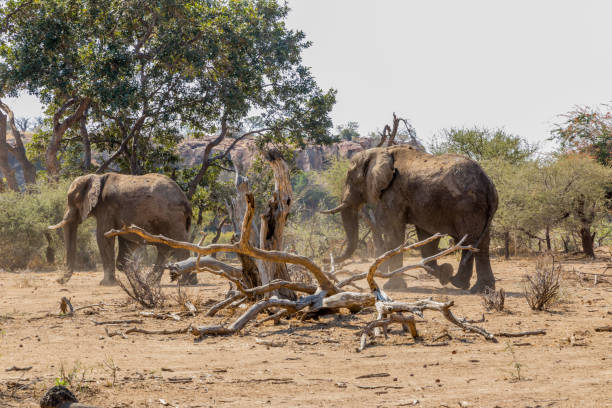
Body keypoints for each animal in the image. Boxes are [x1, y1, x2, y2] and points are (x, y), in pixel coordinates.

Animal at [49, 174, 195, 286]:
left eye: (72, 200)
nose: (58, 281)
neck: (97, 177)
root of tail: (186, 201)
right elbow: (126, 241)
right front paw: (133, 279)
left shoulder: (106, 208)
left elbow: (103, 237)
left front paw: (106, 283)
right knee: (164, 248)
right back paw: (152, 282)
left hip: (173, 218)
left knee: (180, 245)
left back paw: (184, 282)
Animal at [326, 145, 498, 292]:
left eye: (351, 179)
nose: (330, 259)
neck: (381, 151)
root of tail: (488, 183)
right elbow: (426, 237)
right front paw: (445, 273)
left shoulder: (393, 193)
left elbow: (393, 232)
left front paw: (392, 287)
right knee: (479, 243)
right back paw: (469, 286)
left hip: (468, 206)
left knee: (471, 240)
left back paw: (469, 286)